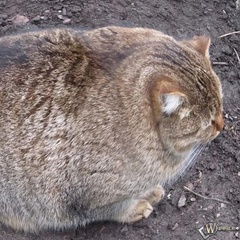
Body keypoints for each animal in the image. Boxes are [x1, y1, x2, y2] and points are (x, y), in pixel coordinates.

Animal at [0, 26, 223, 232]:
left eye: (221, 106)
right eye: (209, 122)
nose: (221, 126)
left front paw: (148, 191)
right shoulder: (89, 194)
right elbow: (113, 208)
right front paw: (136, 207)